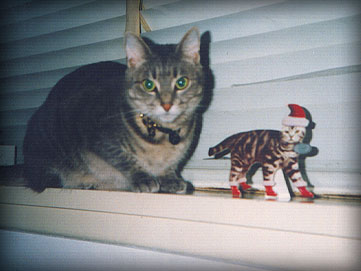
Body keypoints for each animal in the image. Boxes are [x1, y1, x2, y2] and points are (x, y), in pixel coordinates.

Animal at [23, 27, 208, 193]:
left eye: (181, 82)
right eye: (148, 85)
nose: (167, 105)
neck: (163, 136)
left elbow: (170, 166)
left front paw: (170, 179)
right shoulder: (98, 137)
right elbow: (123, 158)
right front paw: (143, 178)